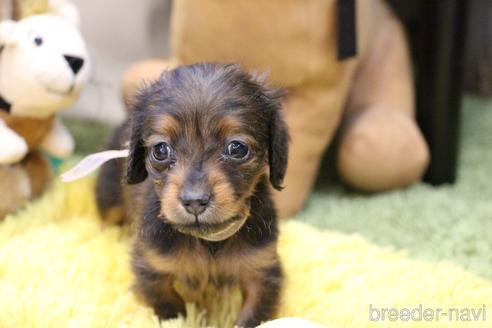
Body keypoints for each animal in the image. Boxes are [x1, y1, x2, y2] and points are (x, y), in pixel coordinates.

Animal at [96, 62, 288, 326]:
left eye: (237, 148)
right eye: (160, 149)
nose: (195, 201)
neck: (208, 239)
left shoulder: (263, 269)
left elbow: (253, 315)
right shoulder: (152, 267)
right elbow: (170, 307)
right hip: (110, 196)